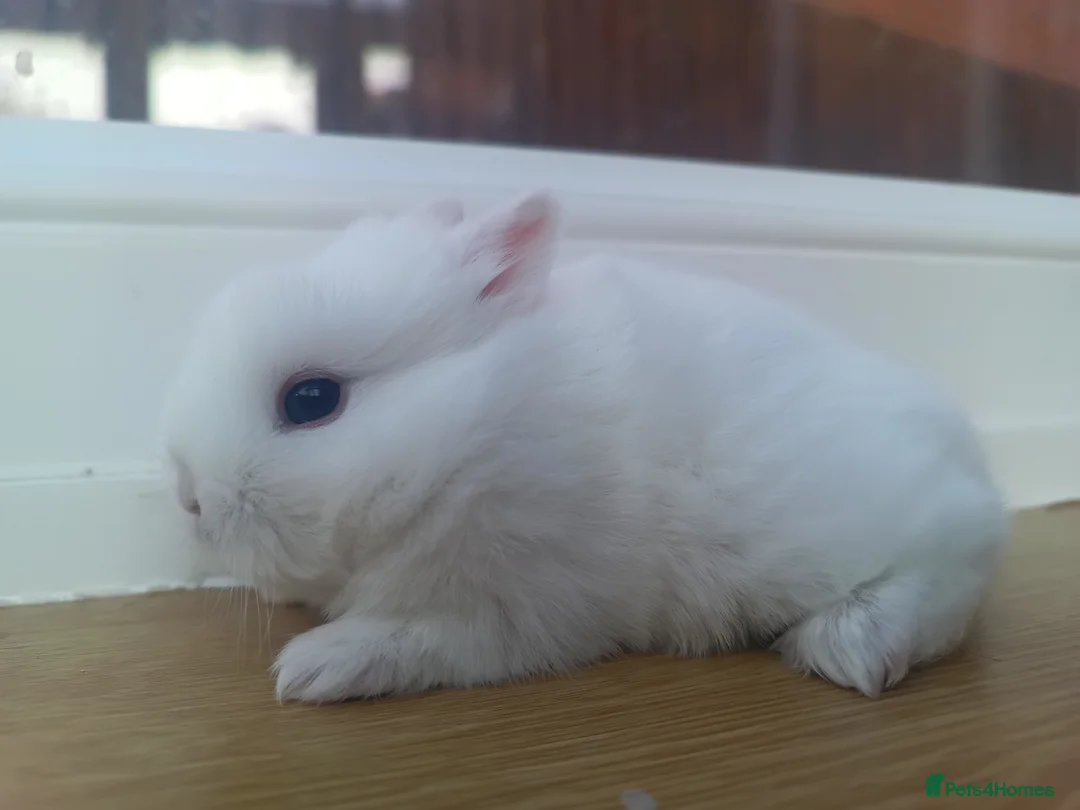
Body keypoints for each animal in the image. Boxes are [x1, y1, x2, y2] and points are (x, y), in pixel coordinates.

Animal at [161, 191, 1011, 704]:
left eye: (311, 400)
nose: (190, 499)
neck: (465, 433)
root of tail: (971, 463)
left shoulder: (513, 607)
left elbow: (416, 638)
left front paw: (311, 668)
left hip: (887, 529)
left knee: (949, 570)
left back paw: (850, 648)